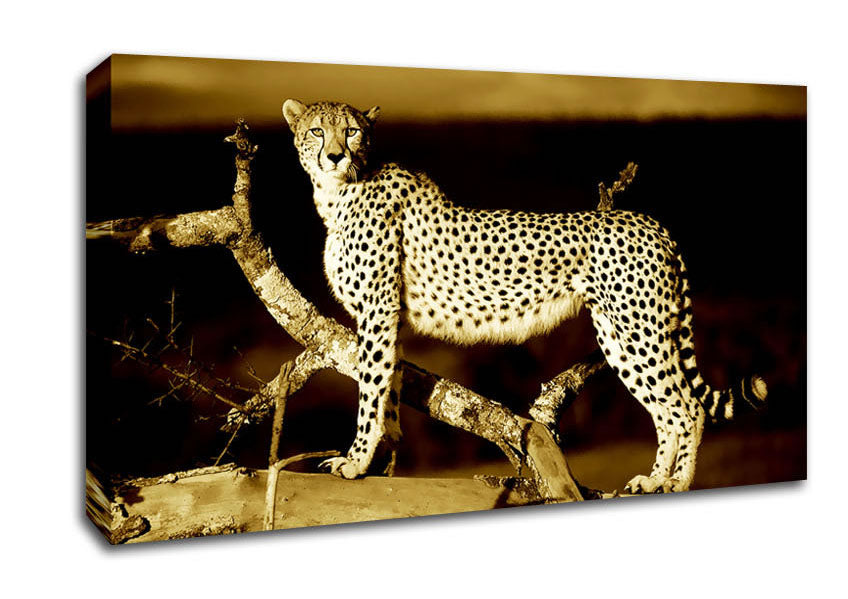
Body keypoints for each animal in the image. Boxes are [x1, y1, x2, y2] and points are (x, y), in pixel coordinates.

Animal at [281, 98, 768, 494]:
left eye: (352, 131)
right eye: (317, 131)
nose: (335, 155)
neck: (339, 192)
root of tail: (651, 221)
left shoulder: (378, 310)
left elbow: (371, 387)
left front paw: (356, 461)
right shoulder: (390, 316)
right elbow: (391, 387)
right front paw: (381, 457)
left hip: (639, 331)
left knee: (685, 409)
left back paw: (672, 483)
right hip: (619, 335)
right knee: (671, 409)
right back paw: (661, 480)